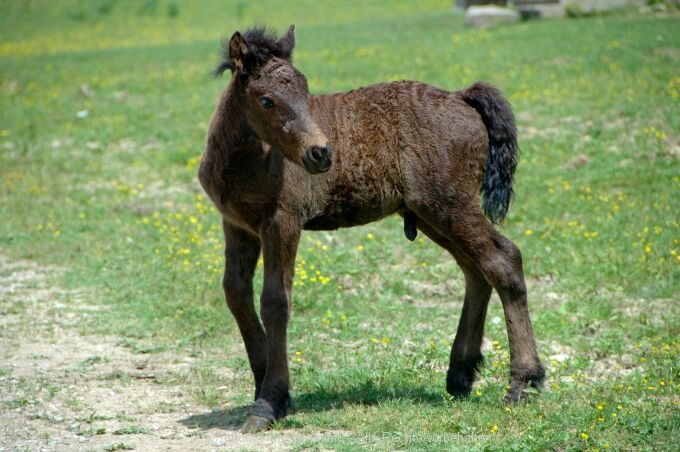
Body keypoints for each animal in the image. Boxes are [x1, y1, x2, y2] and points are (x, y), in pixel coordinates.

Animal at [199, 26, 544, 432]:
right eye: (266, 100)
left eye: (305, 89)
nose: (321, 153)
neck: (247, 159)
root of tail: (462, 97)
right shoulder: (238, 224)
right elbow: (237, 294)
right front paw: (266, 388)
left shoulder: (282, 222)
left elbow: (275, 301)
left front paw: (268, 401)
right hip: (430, 214)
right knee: (476, 269)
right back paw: (460, 374)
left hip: (450, 205)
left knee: (503, 259)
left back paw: (524, 382)